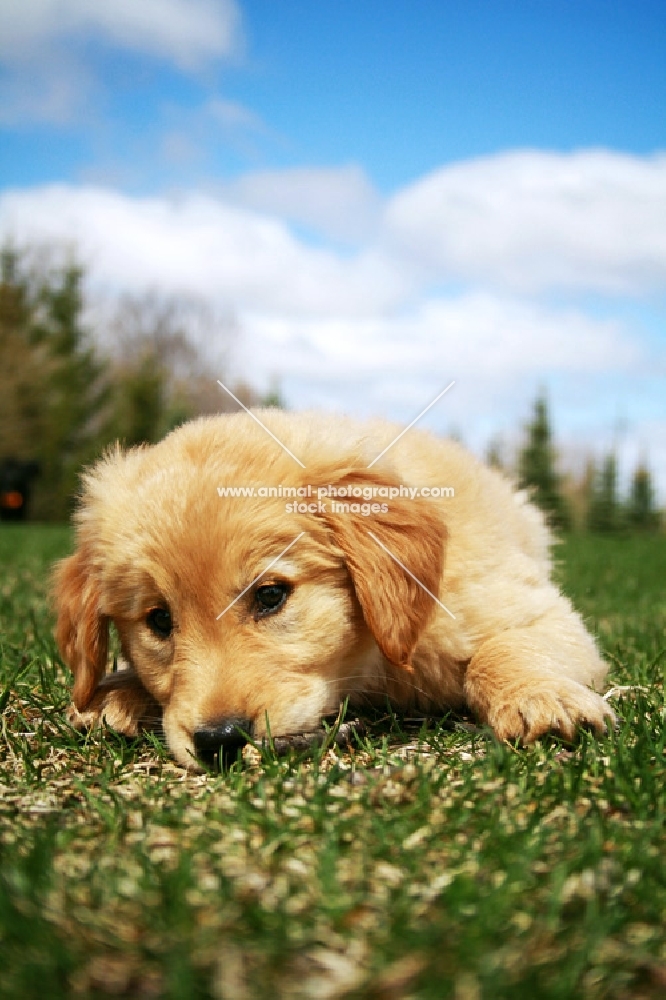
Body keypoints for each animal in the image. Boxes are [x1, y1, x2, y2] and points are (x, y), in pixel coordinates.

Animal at [52, 410, 612, 768]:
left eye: (270, 595)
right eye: (159, 620)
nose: (220, 740)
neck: (370, 663)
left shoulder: (533, 610)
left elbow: (501, 650)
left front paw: (539, 698)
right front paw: (118, 690)